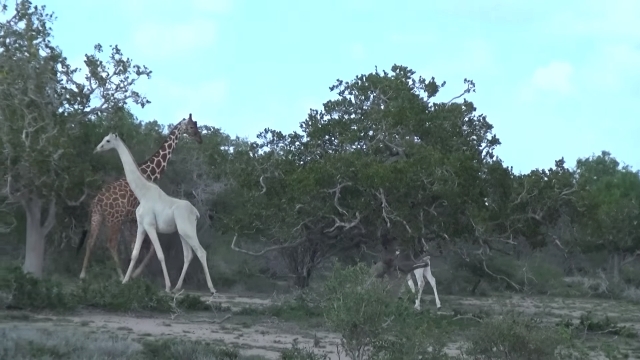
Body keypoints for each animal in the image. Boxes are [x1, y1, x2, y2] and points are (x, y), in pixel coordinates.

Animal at [78, 114, 202, 280]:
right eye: (191, 127)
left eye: (196, 125)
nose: (200, 139)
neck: (148, 173)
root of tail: (97, 201)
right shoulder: (133, 219)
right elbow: (144, 248)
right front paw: (134, 274)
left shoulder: (132, 220)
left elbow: (136, 247)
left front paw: (133, 273)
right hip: (114, 219)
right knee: (111, 243)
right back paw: (119, 274)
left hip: (97, 217)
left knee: (91, 241)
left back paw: (83, 274)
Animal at [94, 131, 216, 292]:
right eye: (103, 139)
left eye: (107, 141)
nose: (97, 149)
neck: (142, 193)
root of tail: (196, 213)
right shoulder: (140, 226)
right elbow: (134, 254)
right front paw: (125, 281)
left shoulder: (150, 225)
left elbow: (160, 255)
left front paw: (167, 286)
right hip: (182, 232)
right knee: (188, 255)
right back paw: (178, 287)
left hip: (187, 230)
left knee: (201, 252)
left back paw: (211, 289)